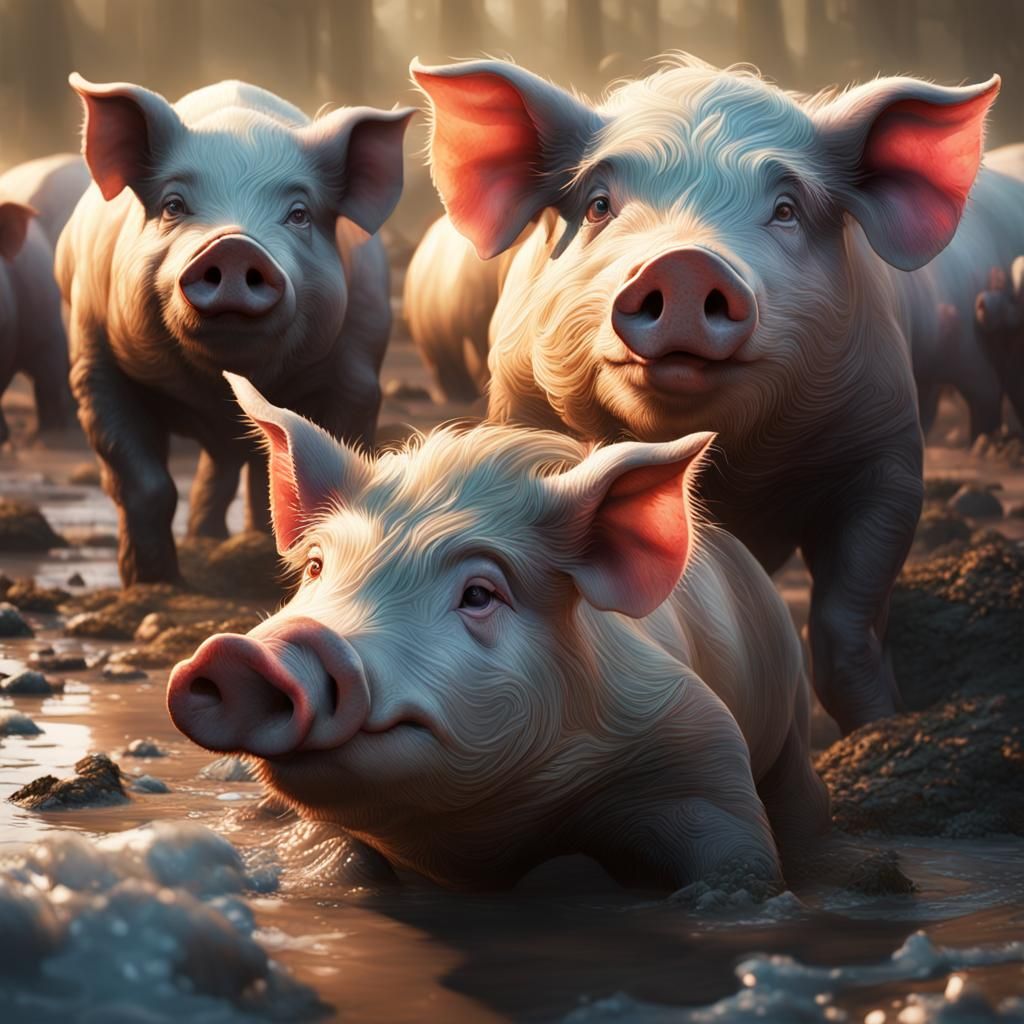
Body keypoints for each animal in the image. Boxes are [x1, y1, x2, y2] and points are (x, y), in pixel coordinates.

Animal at [56, 75, 414, 585]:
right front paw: (155, 583)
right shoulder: (93, 361)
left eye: (300, 213)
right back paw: (205, 543)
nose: (234, 246)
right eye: (173, 205)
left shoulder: (359, 375)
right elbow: (145, 483)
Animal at [167, 373, 829, 892]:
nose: (243, 652)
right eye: (314, 568)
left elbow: (741, 854)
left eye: (479, 595)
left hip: (792, 707)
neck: (474, 846)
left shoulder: (695, 742)